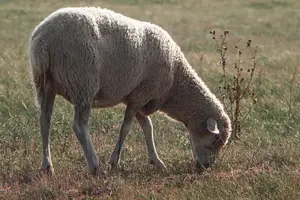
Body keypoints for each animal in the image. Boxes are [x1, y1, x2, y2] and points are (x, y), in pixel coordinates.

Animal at [29, 5, 232, 175]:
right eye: (215, 141)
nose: (206, 167)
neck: (175, 82)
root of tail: (44, 40)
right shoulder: (140, 95)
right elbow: (126, 128)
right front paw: (114, 162)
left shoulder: (137, 96)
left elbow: (147, 126)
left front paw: (156, 161)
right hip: (83, 82)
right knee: (79, 126)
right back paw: (95, 166)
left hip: (44, 84)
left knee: (44, 121)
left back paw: (48, 166)